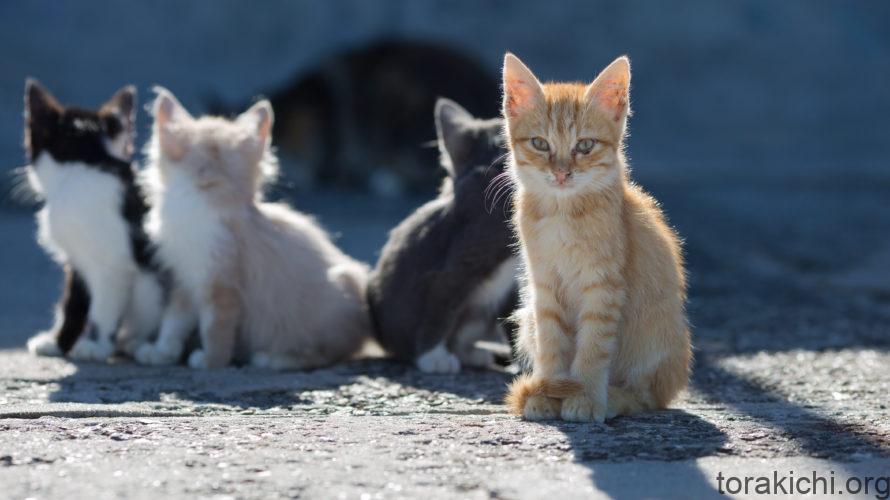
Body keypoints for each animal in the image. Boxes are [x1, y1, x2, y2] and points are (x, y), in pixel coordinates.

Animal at [24, 80, 165, 362]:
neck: (85, 166)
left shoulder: (113, 265)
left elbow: (103, 306)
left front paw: (95, 344)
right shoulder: (76, 260)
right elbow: (73, 302)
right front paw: (57, 342)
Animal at [133, 88, 368, 370]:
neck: (205, 200)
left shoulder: (221, 282)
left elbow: (214, 326)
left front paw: (211, 360)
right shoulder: (186, 276)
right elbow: (174, 319)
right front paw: (162, 351)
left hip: (334, 297)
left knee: (329, 353)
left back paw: (276, 358)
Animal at [502, 54, 692, 422]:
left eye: (585, 145)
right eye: (540, 144)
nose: (562, 173)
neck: (563, 212)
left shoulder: (604, 285)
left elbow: (593, 345)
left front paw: (586, 397)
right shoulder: (543, 286)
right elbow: (551, 343)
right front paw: (548, 391)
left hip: (657, 330)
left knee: (648, 396)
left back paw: (614, 398)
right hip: (528, 315)